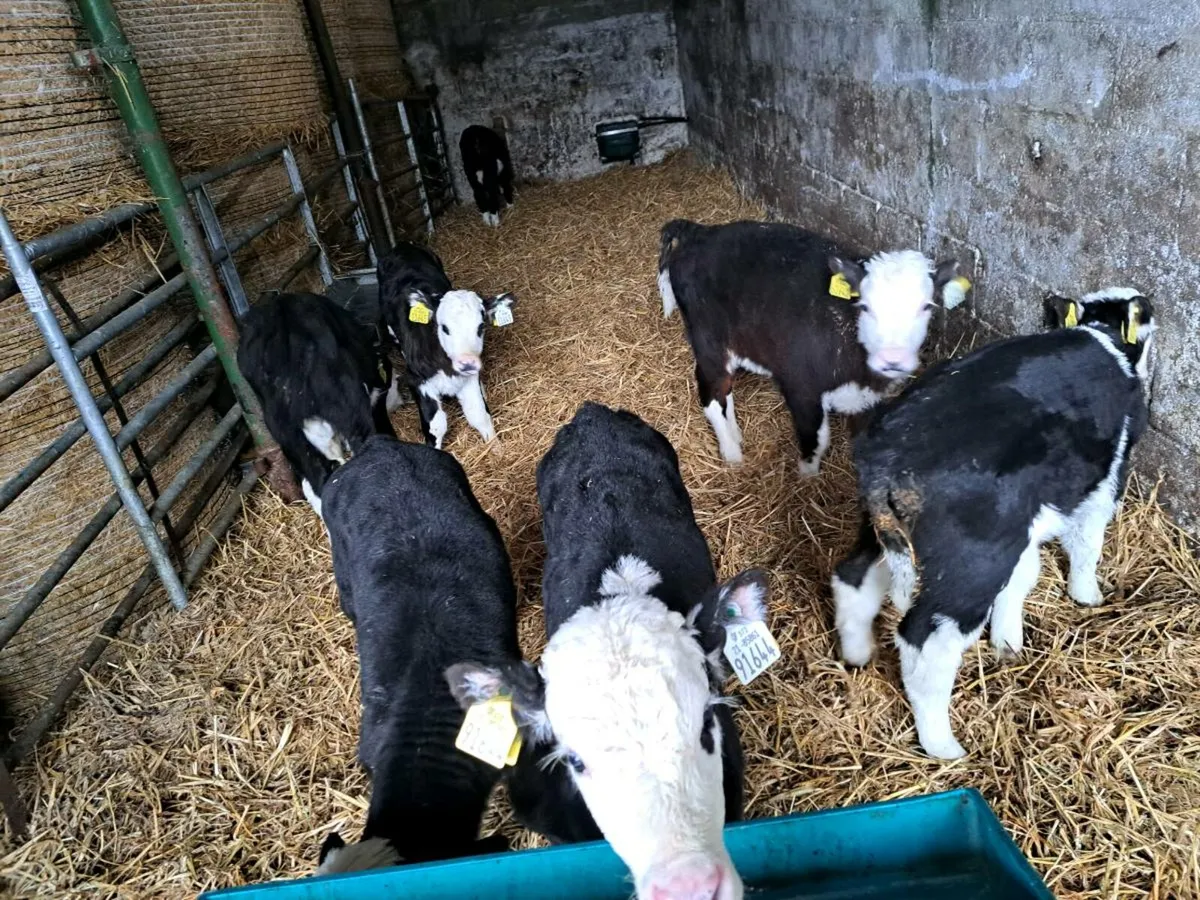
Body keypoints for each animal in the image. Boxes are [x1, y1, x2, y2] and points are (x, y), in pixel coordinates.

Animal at [377, 242, 515, 450]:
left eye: (481, 326)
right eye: (444, 327)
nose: (468, 363)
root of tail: (403, 245)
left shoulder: (468, 379)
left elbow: (479, 414)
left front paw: (496, 448)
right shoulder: (418, 381)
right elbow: (436, 425)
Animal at [657, 219, 967, 475]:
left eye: (927, 306)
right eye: (865, 306)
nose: (893, 360)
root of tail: (701, 232)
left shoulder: (868, 399)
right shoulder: (800, 386)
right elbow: (817, 439)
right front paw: (808, 477)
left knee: (726, 391)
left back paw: (736, 434)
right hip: (708, 339)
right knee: (711, 393)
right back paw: (732, 452)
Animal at [830, 288, 1155, 759]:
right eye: (1144, 314)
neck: (1102, 337)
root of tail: (887, 455)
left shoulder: (1023, 526)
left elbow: (1023, 577)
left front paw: (1008, 640)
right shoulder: (1107, 477)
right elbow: (1087, 541)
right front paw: (1087, 595)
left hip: (884, 528)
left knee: (852, 578)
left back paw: (857, 654)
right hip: (973, 561)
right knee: (925, 640)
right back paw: (943, 746)